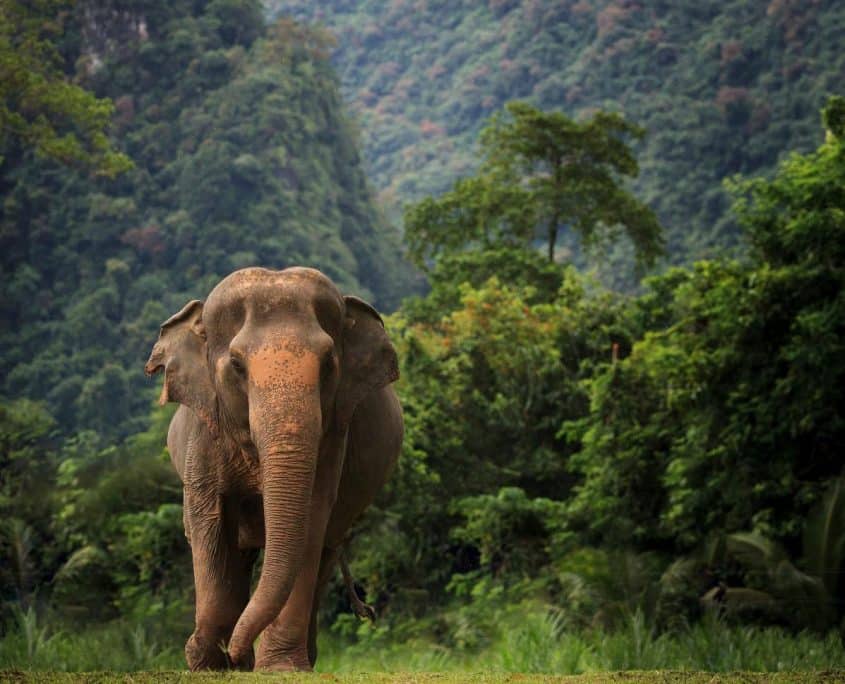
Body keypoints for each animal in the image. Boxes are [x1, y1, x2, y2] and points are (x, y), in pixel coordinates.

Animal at [144, 266, 403, 671]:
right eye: (237, 365)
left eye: (328, 363)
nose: (234, 651)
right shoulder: (205, 432)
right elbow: (210, 520)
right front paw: (208, 661)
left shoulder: (333, 434)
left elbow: (311, 517)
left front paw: (278, 667)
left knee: (324, 553)